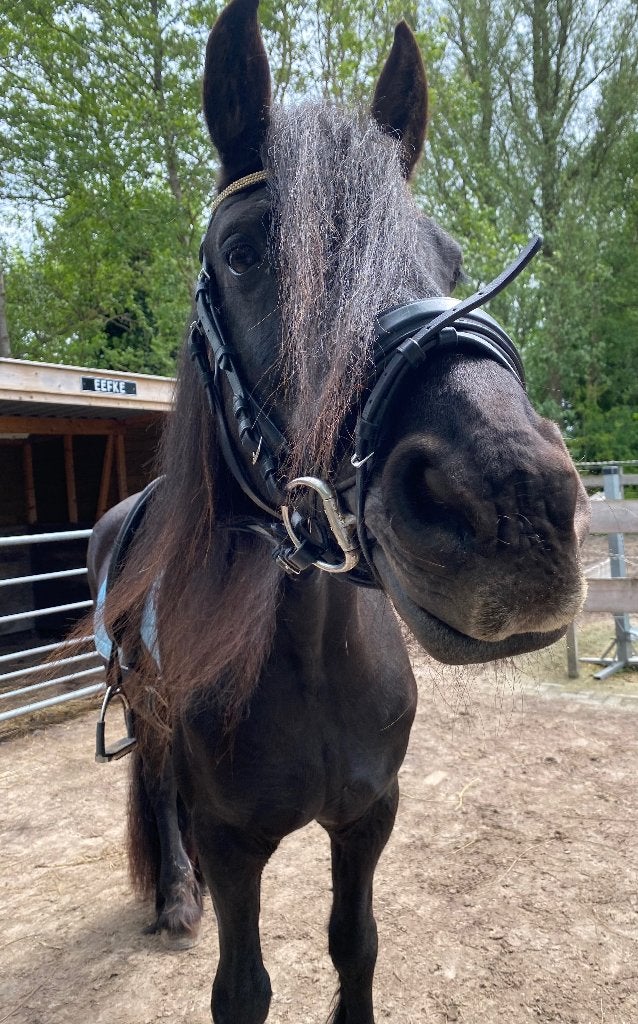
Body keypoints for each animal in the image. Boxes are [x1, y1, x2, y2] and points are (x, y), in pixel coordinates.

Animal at [87, 1, 590, 1020]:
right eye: (245, 253)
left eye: (448, 257)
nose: (513, 506)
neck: (309, 660)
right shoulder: (232, 845)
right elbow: (243, 988)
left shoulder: (368, 815)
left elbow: (355, 946)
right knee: (154, 786)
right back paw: (174, 899)